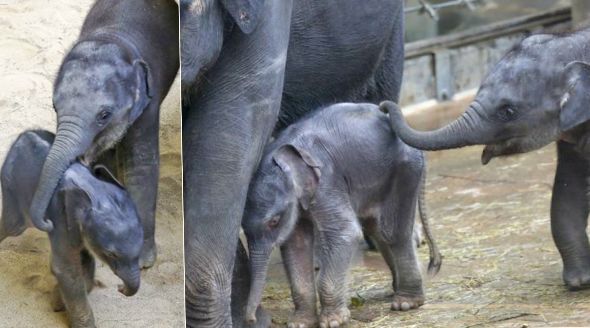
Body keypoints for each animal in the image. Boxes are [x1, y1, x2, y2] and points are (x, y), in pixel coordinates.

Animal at [0, 131, 145, 328]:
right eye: (111, 254)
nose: (120, 288)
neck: (93, 188)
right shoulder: (59, 215)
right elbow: (66, 267)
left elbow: (85, 258)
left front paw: (58, 301)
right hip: (11, 186)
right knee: (13, 225)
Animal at [29, 0, 180, 268]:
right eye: (55, 106)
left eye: (104, 115)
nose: (47, 222)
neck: (112, 38)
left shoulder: (148, 102)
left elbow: (141, 164)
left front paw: (143, 261)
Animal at [243, 103, 442, 328]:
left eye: (274, 222)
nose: (250, 319)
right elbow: (296, 245)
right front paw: (300, 323)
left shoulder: (327, 180)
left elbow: (345, 232)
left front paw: (333, 322)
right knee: (377, 229)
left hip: (405, 169)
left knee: (393, 232)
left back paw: (406, 303)